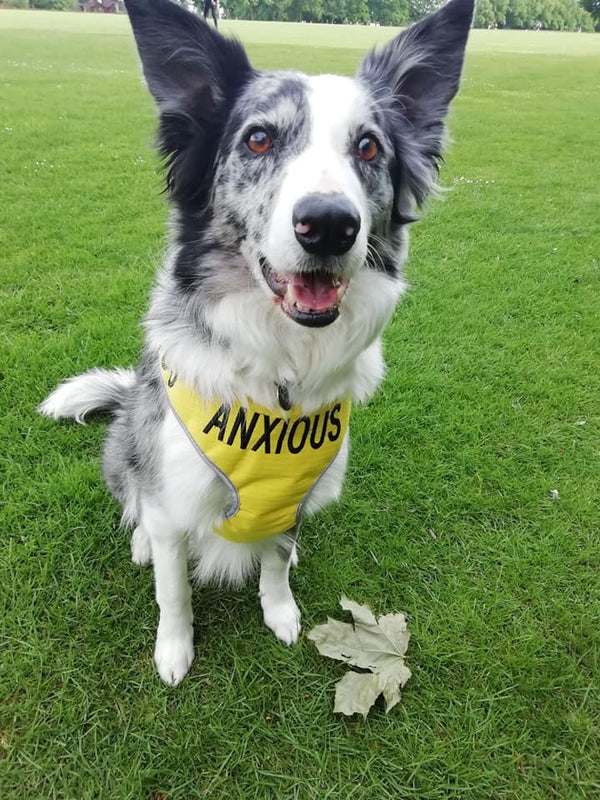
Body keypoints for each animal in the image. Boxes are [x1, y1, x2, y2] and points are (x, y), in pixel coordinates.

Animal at [39, 1, 476, 688]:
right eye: (259, 139)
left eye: (368, 146)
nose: (329, 224)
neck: (280, 369)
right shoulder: (174, 498)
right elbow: (173, 589)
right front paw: (174, 651)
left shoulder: (290, 498)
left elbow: (273, 559)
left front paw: (281, 610)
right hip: (127, 440)